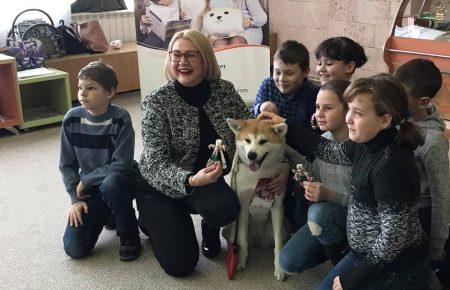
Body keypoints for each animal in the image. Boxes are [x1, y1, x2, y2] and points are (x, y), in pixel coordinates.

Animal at [225, 118, 288, 280]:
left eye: (263, 141)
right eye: (247, 140)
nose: (251, 155)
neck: (257, 175)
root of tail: (259, 241)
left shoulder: (277, 205)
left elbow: (278, 245)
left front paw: (279, 269)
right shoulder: (242, 204)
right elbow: (242, 239)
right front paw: (240, 261)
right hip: (231, 231)